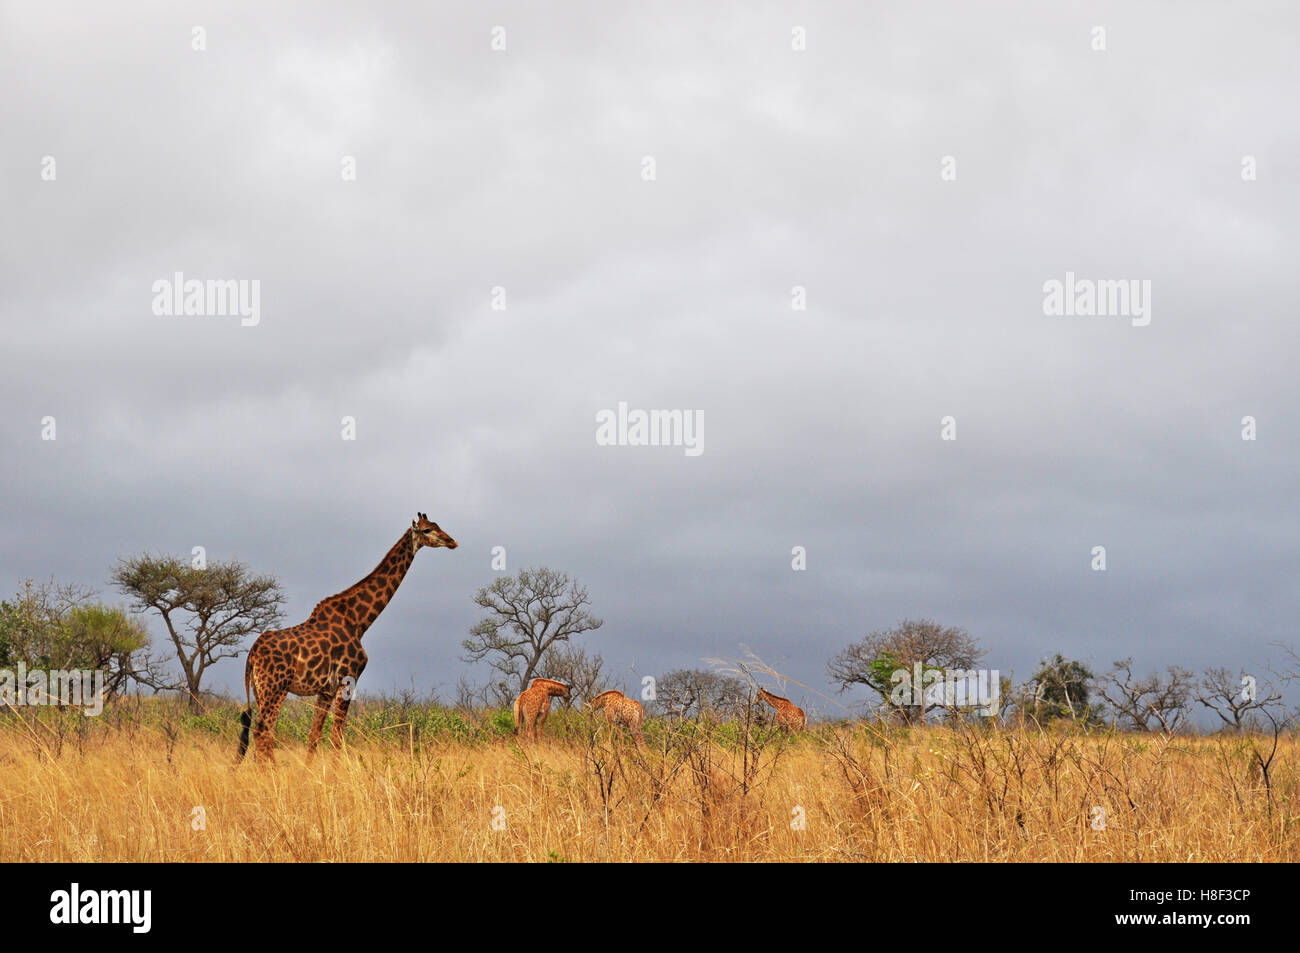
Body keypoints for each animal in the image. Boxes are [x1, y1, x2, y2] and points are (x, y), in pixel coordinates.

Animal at [236, 509, 460, 764]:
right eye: (427, 530)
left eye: (437, 525)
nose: (452, 541)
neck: (359, 621)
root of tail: (252, 654)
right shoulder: (348, 679)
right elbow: (337, 737)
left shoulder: (325, 690)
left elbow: (314, 735)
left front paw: (309, 771)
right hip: (275, 687)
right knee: (263, 731)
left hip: (261, 689)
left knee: (263, 733)